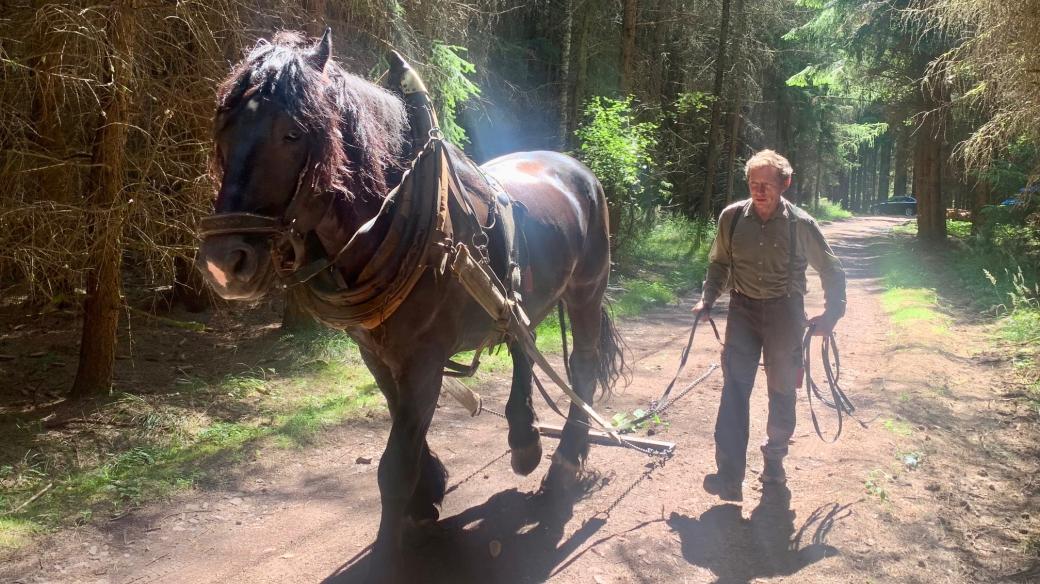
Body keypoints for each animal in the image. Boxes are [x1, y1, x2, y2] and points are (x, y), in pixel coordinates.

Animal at [196, 29, 624, 569]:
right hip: (516, 297)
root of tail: (576, 169)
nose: (222, 263)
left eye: (292, 133)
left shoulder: (424, 358)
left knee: (581, 365)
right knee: (520, 339)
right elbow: (405, 436)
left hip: (586, 290)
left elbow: (394, 464)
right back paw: (525, 441)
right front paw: (426, 499)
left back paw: (565, 461)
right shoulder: (377, 353)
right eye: (223, 131)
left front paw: (388, 550)